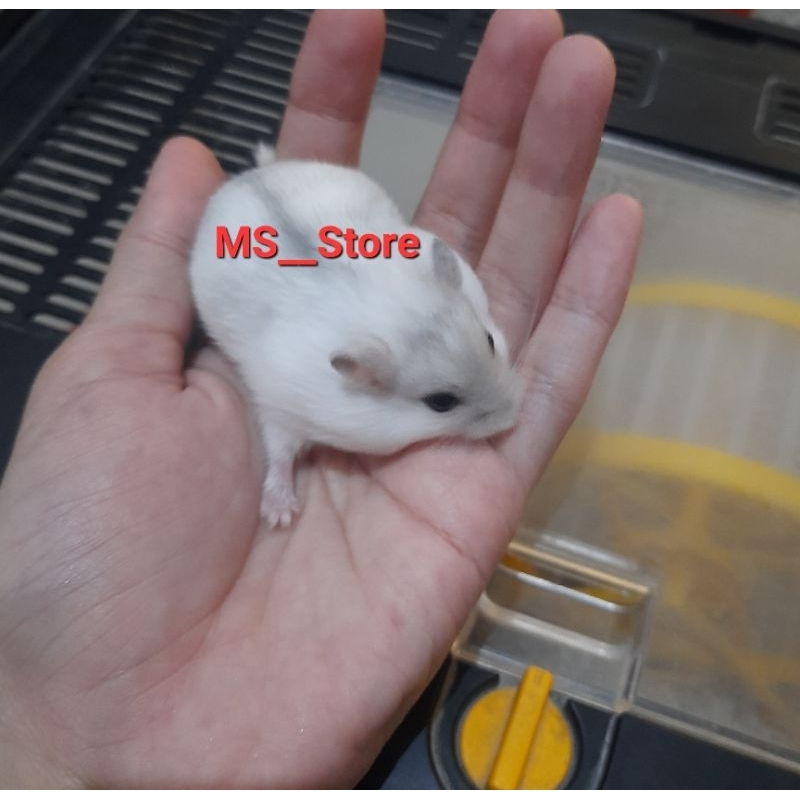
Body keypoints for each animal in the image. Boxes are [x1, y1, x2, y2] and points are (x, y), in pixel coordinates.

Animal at [189, 145, 523, 528]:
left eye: (491, 341)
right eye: (441, 403)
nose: (514, 416)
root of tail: (251, 174)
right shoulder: (280, 407)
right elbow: (281, 450)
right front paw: (281, 517)